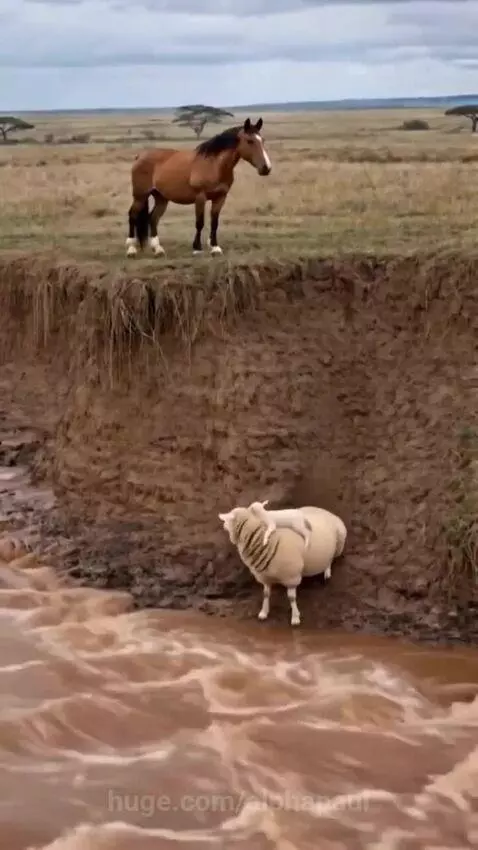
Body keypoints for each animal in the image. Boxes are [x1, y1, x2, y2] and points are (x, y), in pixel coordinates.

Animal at [125, 117, 272, 259]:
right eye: (249, 141)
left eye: (263, 140)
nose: (266, 168)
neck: (214, 165)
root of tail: (140, 156)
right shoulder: (200, 197)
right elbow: (199, 222)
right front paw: (197, 249)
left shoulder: (220, 198)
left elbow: (214, 222)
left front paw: (215, 248)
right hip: (140, 195)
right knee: (133, 215)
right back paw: (131, 249)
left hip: (161, 198)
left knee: (153, 218)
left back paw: (158, 250)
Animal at [218, 504, 347, 626]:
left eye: (228, 519)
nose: (222, 525)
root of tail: (324, 510)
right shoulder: (265, 576)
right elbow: (266, 594)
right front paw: (263, 612)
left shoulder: (291, 576)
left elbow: (291, 598)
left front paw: (295, 617)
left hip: (339, 543)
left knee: (331, 559)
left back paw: (327, 572)